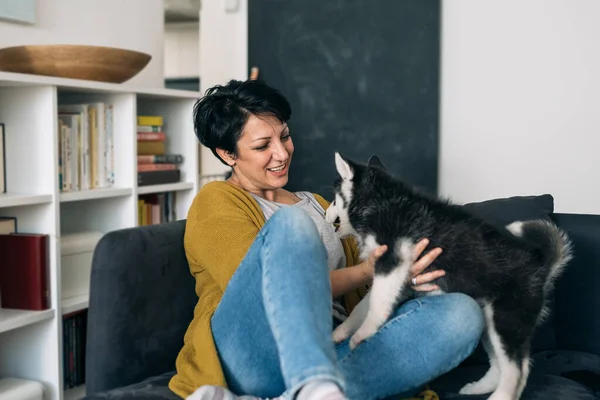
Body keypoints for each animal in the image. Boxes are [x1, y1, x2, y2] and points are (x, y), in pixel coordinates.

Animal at [326, 152, 576, 398]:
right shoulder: (397, 275)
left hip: (507, 318)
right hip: (489, 320)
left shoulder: (392, 262)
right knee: (499, 365)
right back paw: (477, 388)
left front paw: (363, 334)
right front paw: (341, 332)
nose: (328, 215)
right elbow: (362, 307)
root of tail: (540, 265)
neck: (379, 201)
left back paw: (501, 395)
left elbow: (376, 304)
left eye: (335, 199)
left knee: (518, 370)